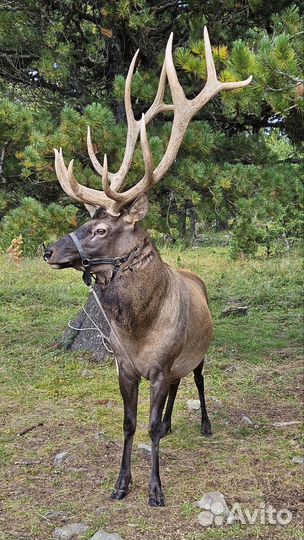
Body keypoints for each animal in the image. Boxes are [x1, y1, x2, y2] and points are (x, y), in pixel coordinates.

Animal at [43, 28, 252, 506]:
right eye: (82, 220)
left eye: (101, 228)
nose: (49, 251)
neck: (139, 331)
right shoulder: (126, 366)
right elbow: (131, 424)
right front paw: (121, 484)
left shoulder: (159, 365)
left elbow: (150, 427)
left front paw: (156, 490)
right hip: (176, 362)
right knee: (177, 388)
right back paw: (176, 422)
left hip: (198, 352)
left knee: (197, 381)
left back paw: (204, 424)